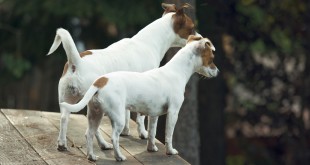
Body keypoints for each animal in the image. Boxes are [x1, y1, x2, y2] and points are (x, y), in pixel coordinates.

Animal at [47, 3, 200, 151]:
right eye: (192, 28)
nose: (199, 37)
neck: (148, 42)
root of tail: (77, 62)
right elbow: (140, 117)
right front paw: (143, 133)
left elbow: (127, 113)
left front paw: (126, 131)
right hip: (92, 104)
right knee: (94, 129)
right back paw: (104, 144)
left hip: (66, 99)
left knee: (64, 118)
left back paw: (62, 144)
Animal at [60, 35, 219, 161]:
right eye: (211, 59)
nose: (218, 71)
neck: (176, 71)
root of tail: (100, 82)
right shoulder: (173, 112)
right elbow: (169, 135)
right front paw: (170, 151)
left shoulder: (154, 115)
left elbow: (152, 133)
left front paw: (152, 148)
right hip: (117, 118)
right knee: (114, 138)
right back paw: (119, 157)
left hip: (95, 115)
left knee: (89, 134)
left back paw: (92, 156)